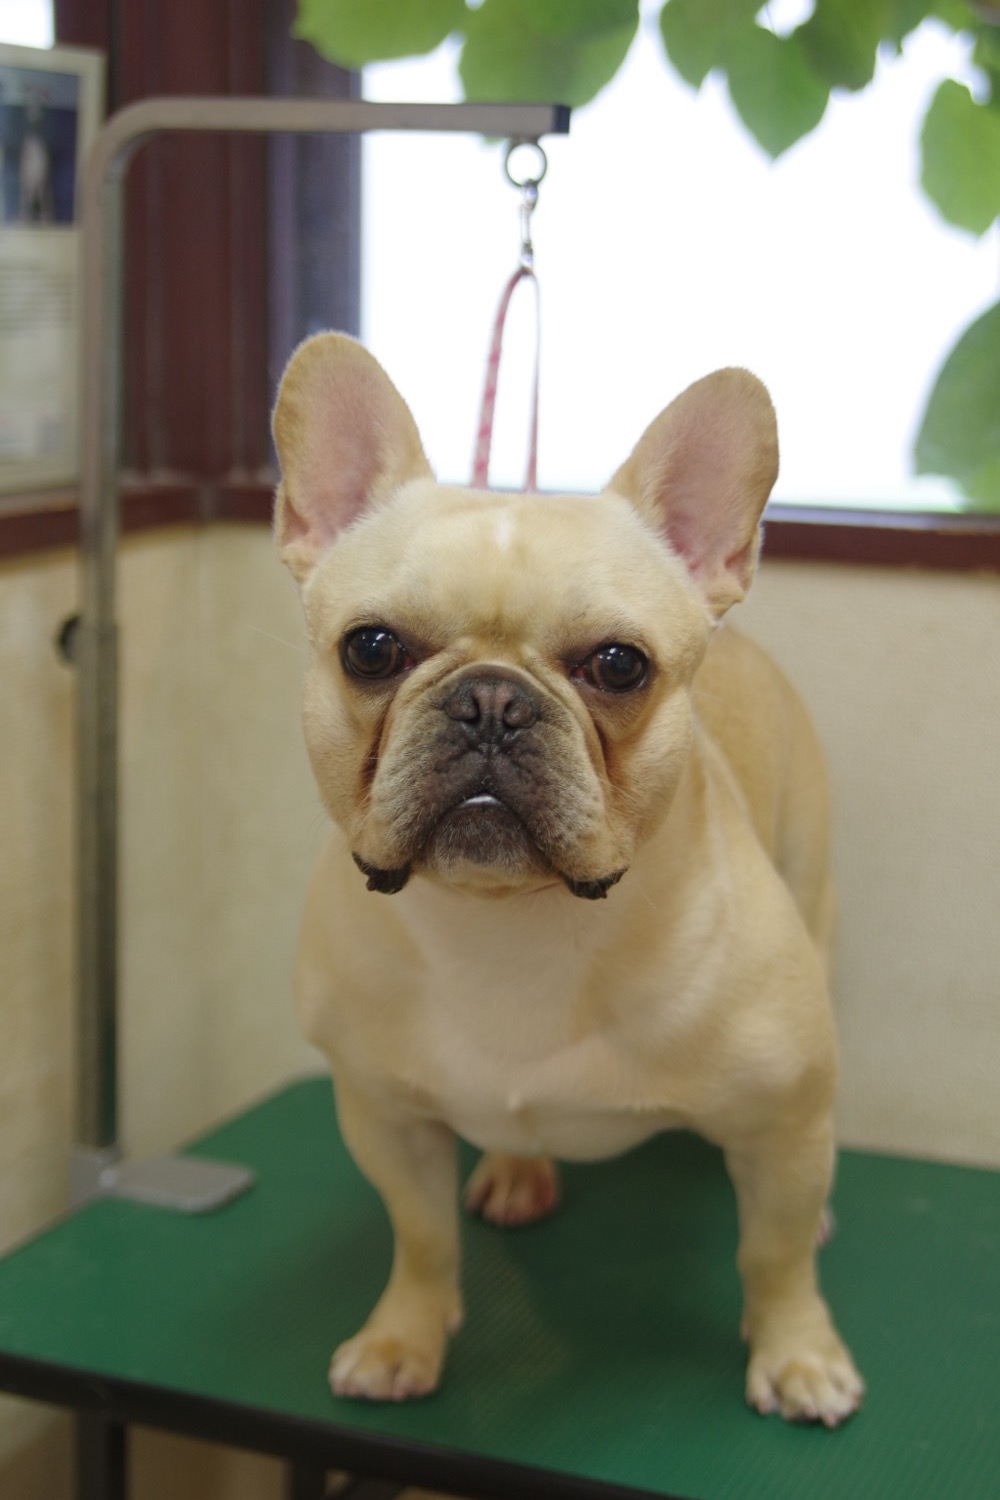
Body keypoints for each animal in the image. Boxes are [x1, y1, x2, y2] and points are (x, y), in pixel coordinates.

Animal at [272, 333, 863, 1427]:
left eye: (620, 665)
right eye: (370, 648)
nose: (491, 701)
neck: (513, 924)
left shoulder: (782, 1122)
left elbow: (772, 1257)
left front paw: (799, 1353)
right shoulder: (383, 1117)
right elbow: (419, 1238)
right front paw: (403, 1337)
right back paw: (515, 1168)